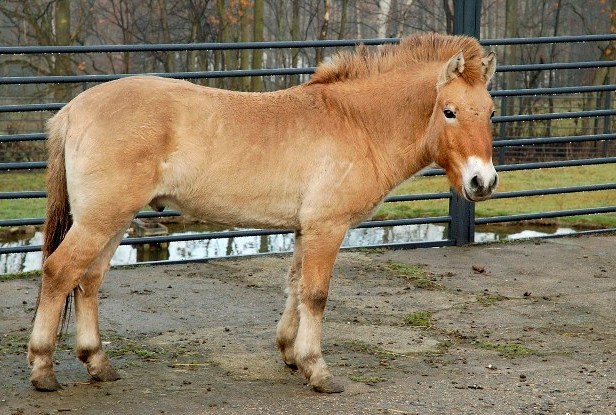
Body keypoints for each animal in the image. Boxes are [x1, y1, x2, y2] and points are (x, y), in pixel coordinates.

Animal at [28, 32, 498, 394]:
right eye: (449, 111)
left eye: (491, 112)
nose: (483, 182)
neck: (356, 122)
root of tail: (73, 111)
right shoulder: (327, 229)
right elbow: (316, 295)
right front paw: (319, 371)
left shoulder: (305, 230)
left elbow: (295, 287)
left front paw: (291, 354)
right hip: (100, 220)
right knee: (59, 272)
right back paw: (43, 369)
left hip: (113, 221)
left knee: (88, 281)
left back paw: (98, 364)